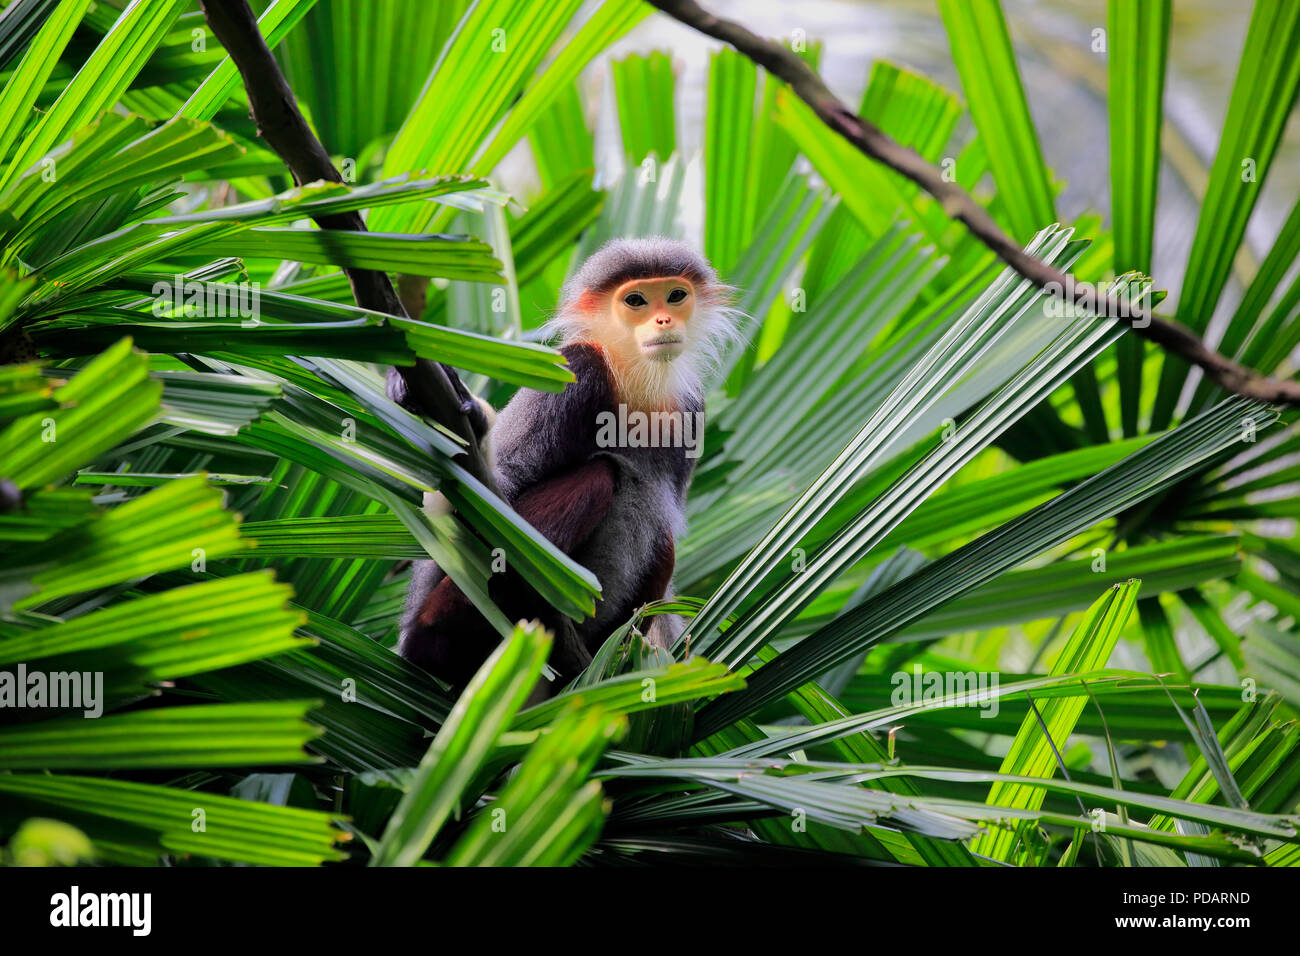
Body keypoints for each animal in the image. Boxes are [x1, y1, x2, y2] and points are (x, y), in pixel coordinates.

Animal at [387, 236, 743, 691]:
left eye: (676, 296)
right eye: (636, 301)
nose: (664, 319)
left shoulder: (692, 408)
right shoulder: (577, 369)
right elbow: (487, 493)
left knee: (662, 541)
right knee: (599, 476)